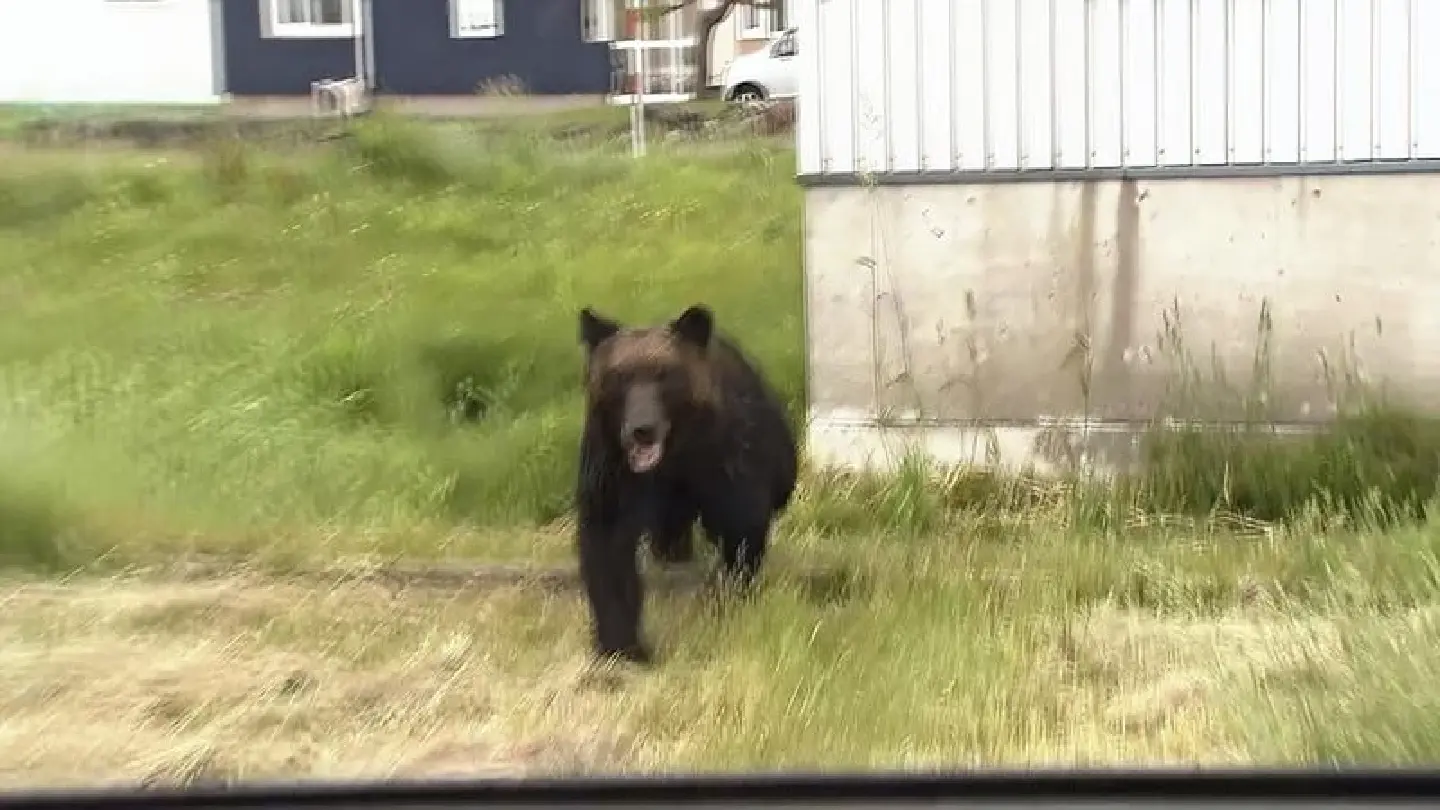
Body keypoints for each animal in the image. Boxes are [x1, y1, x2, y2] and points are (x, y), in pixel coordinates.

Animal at [574, 303, 799, 664]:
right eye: (619, 376)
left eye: (663, 373)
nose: (642, 429)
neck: (673, 458)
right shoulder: (613, 468)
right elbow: (608, 547)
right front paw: (623, 644)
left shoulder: (724, 464)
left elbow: (740, 533)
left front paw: (726, 600)